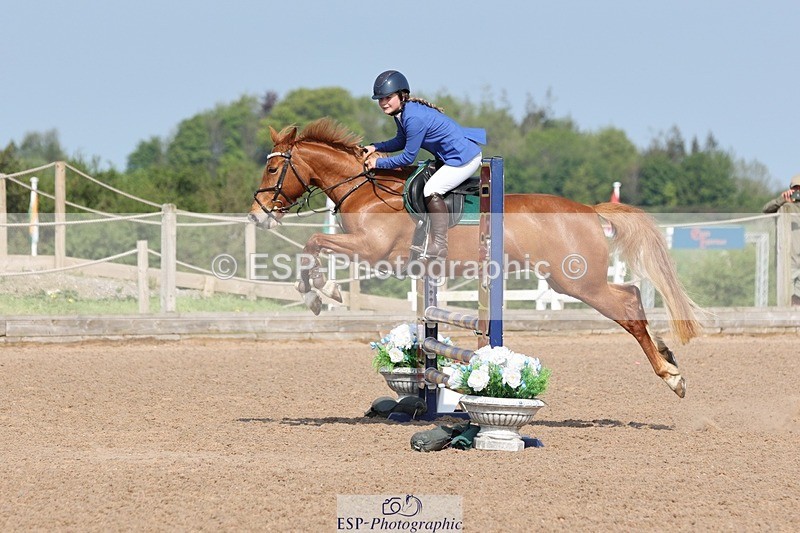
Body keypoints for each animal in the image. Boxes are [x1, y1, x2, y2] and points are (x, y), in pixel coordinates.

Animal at [248, 118, 701, 398]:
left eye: (272, 171)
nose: (256, 215)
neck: (364, 189)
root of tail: (589, 210)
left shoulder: (371, 250)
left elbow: (312, 245)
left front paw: (321, 293)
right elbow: (314, 248)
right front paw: (320, 291)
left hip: (575, 280)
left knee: (627, 306)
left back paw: (672, 377)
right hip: (575, 280)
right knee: (631, 295)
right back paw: (668, 354)